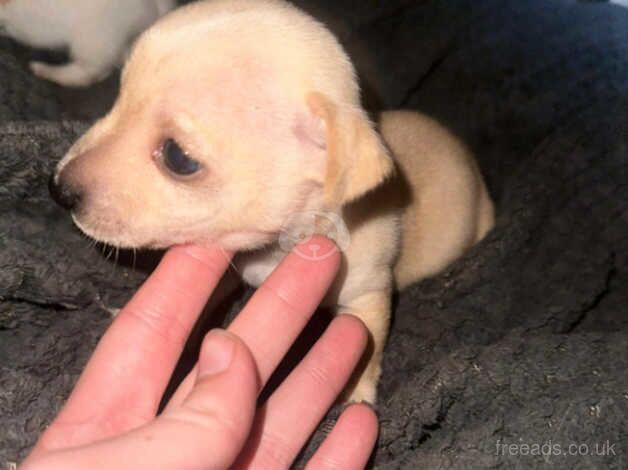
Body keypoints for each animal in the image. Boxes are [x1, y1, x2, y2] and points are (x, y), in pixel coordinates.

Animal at [49, 0, 496, 404]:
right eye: (117, 100)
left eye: (178, 157)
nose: (58, 189)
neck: (276, 249)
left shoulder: (367, 293)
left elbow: (365, 345)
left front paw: (358, 392)